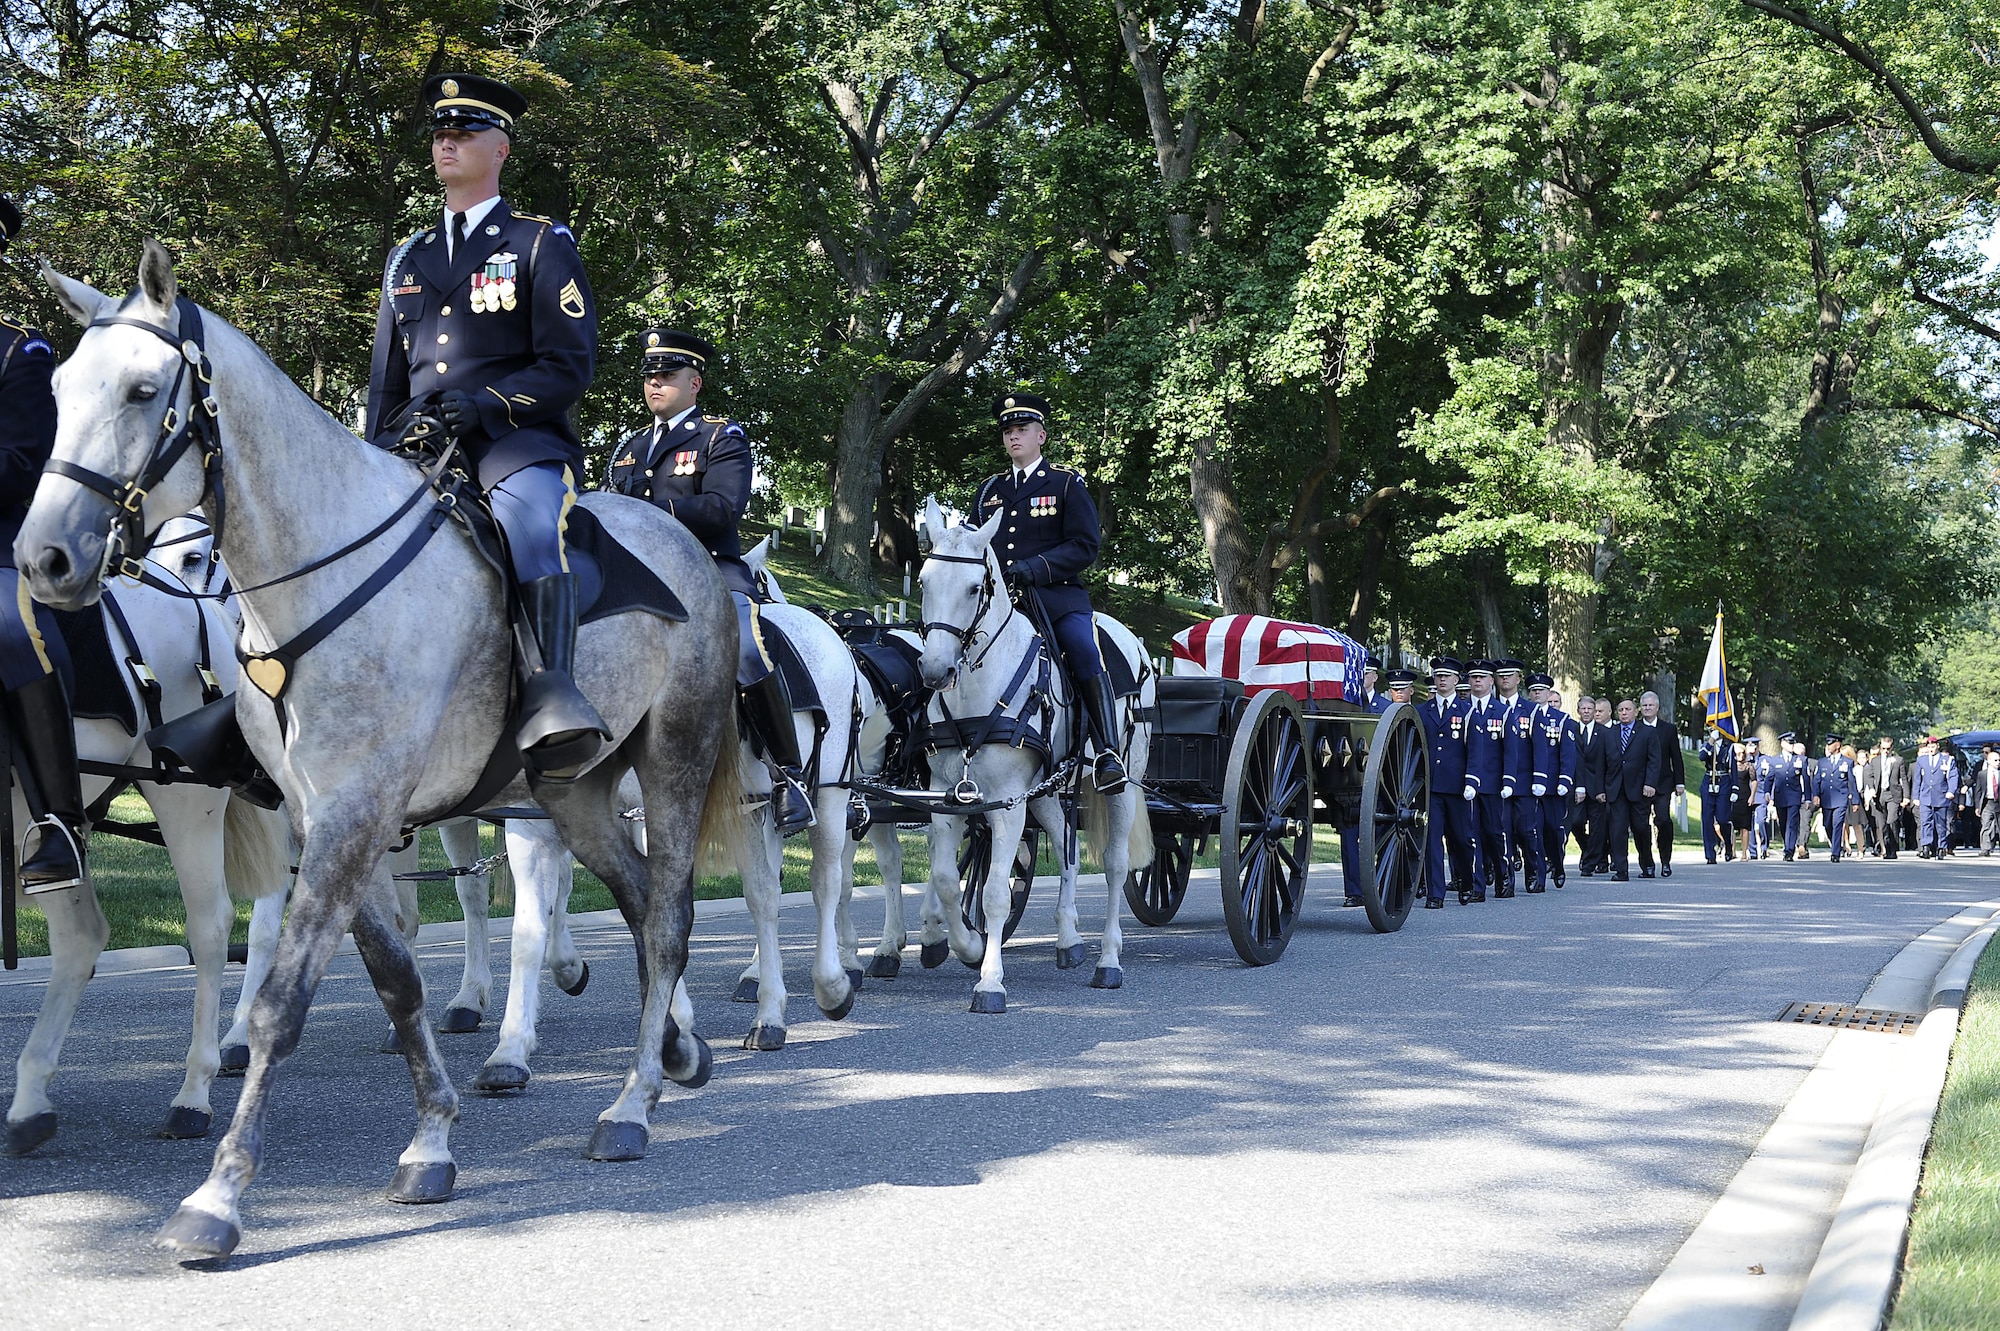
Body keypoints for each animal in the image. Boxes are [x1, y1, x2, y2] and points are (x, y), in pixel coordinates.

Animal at [2, 547, 292, 1151]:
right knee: (81, 937)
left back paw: (194, 1093)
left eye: (201, 553)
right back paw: (31, 1099)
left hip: (185, 796)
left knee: (212, 926)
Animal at [912, 495, 1152, 1007]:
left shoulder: (1006, 805)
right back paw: (1068, 940)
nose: (936, 670)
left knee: (1115, 865)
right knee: (1067, 849)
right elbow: (946, 880)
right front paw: (966, 945)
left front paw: (989, 980)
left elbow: (994, 894)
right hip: (1043, 794)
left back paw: (1108, 960)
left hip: (1121, 786)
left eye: (974, 587)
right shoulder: (947, 798)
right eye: (923, 581)